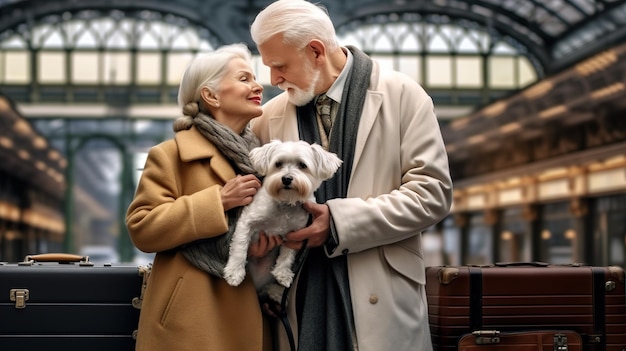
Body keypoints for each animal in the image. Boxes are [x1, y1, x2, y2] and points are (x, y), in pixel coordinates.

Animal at [223, 139, 342, 290]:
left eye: (303, 165)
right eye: (278, 163)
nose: (286, 179)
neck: (285, 203)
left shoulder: (295, 233)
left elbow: (288, 255)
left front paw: (282, 273)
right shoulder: (246, 221)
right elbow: (240, 245)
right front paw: (234, 272)